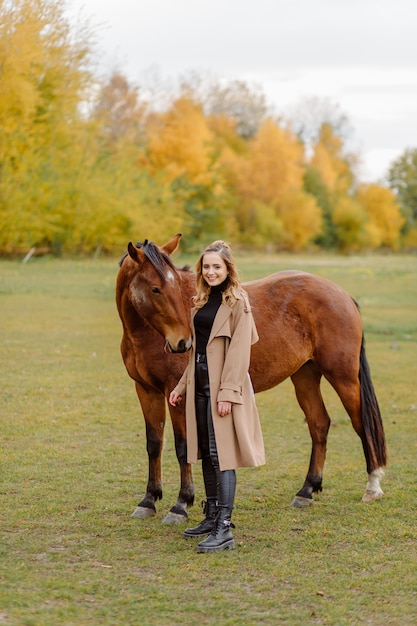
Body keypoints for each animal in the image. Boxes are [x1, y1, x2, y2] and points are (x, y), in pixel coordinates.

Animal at [115, 234, 386, 520]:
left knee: (361, 424)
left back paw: (372, 486)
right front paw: (148, 500)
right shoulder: (146, 391)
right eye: (155, 289)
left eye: (176, 284)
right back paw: (307, 490)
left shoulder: (176, 393)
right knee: (319, 424)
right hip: (305, 376)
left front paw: (181, 504)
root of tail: (342, 294)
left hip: (344, 378)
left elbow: (182, 447)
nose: (183, 342)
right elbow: (154, 444)